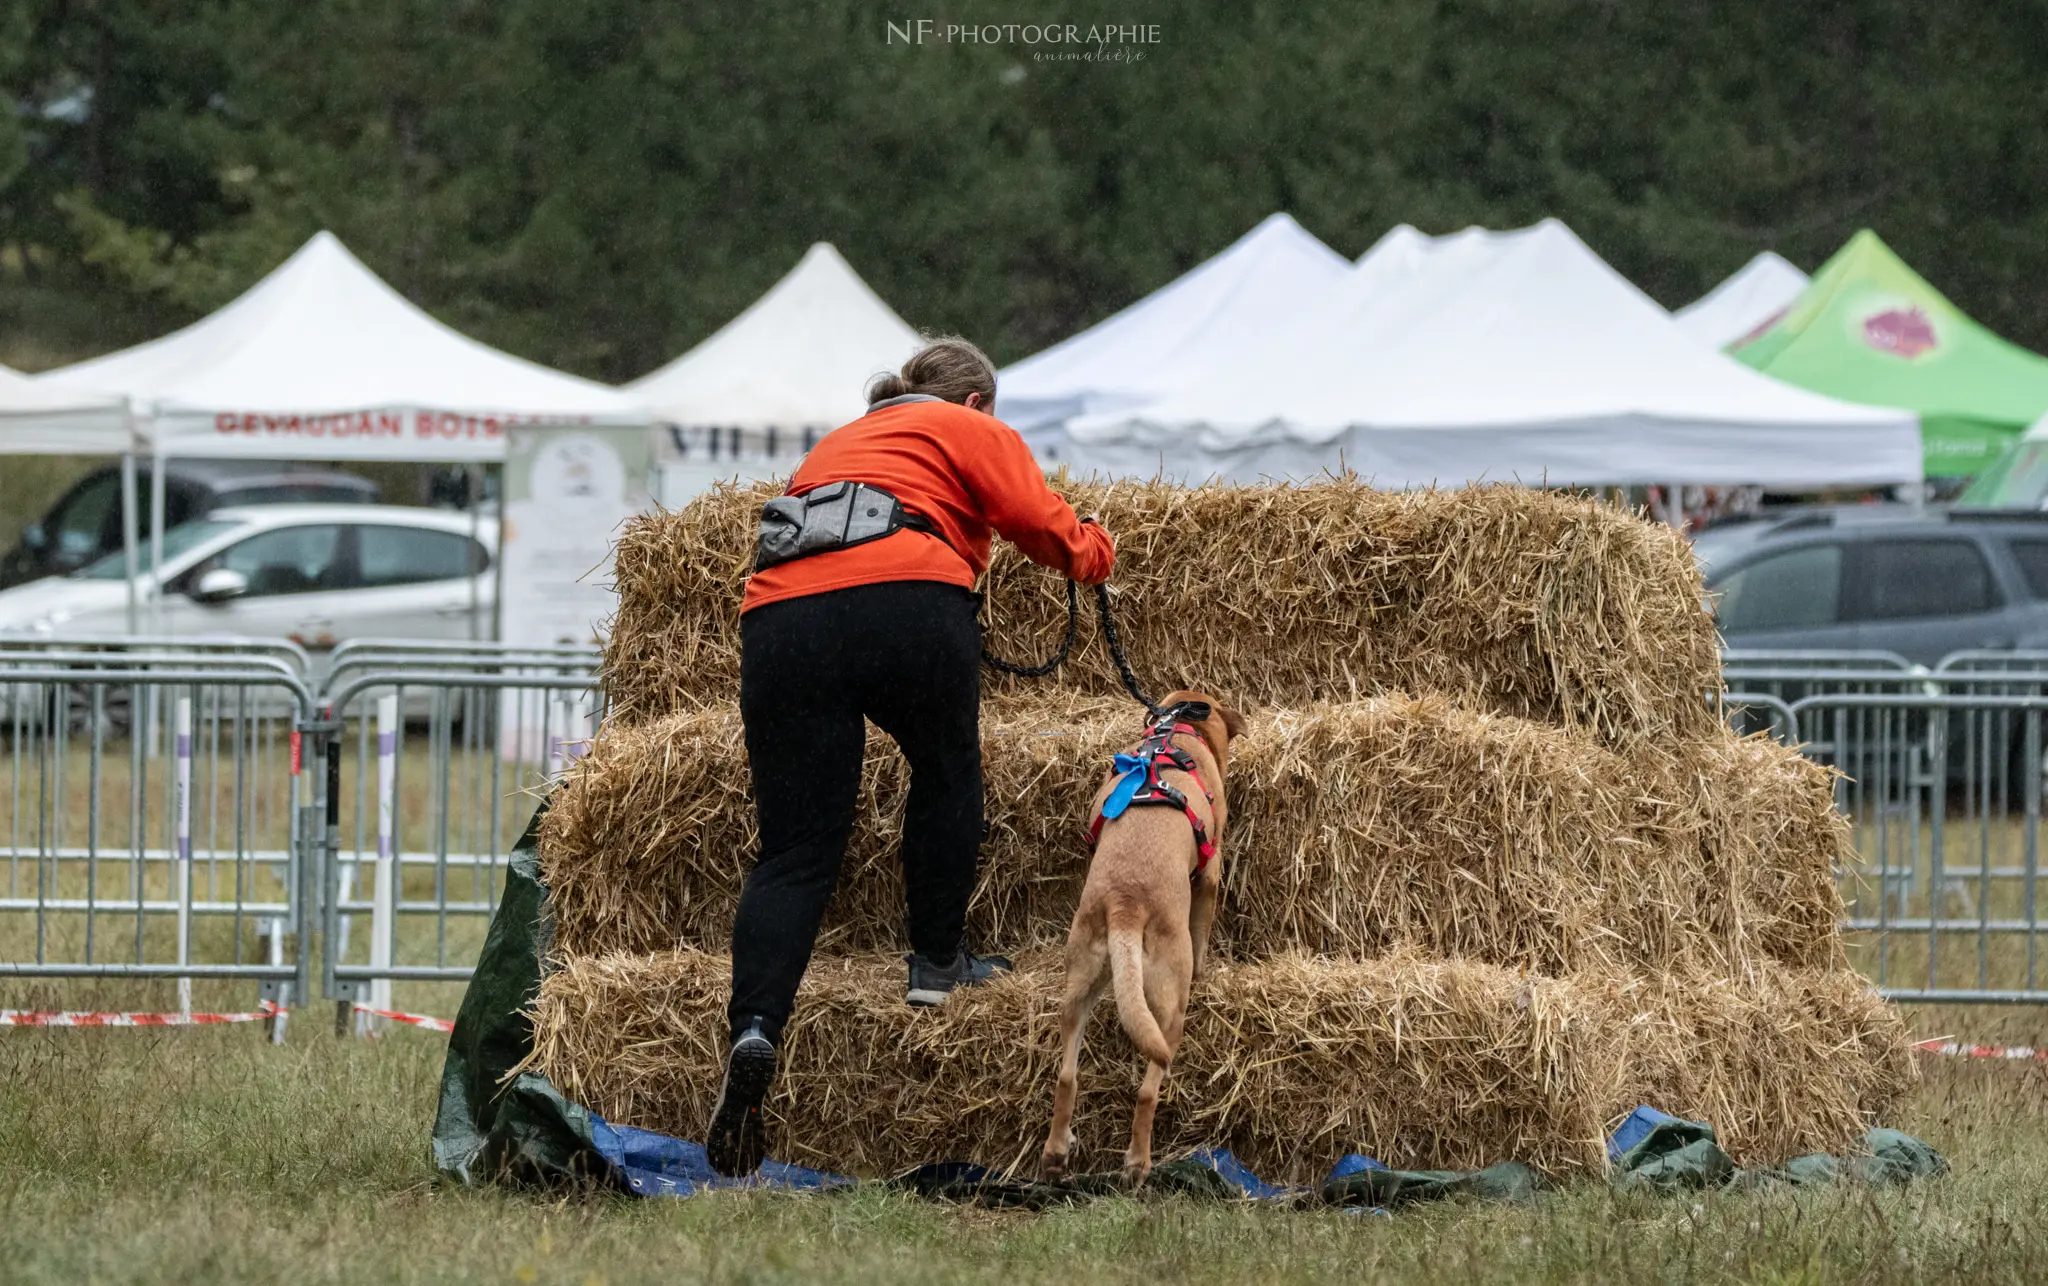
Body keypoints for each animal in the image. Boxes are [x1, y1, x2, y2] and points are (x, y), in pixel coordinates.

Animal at [1040, 688, 1245, 1179]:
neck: (1180, 730)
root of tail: (1125, 906)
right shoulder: (1210, 873)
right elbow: (1204, 930)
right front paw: (1208, 971)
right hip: (1169, 1006)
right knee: (1150, 1086)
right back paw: (1138, 1162)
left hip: (1079, 986)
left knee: (1066, 1075)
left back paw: (1056, 1152)